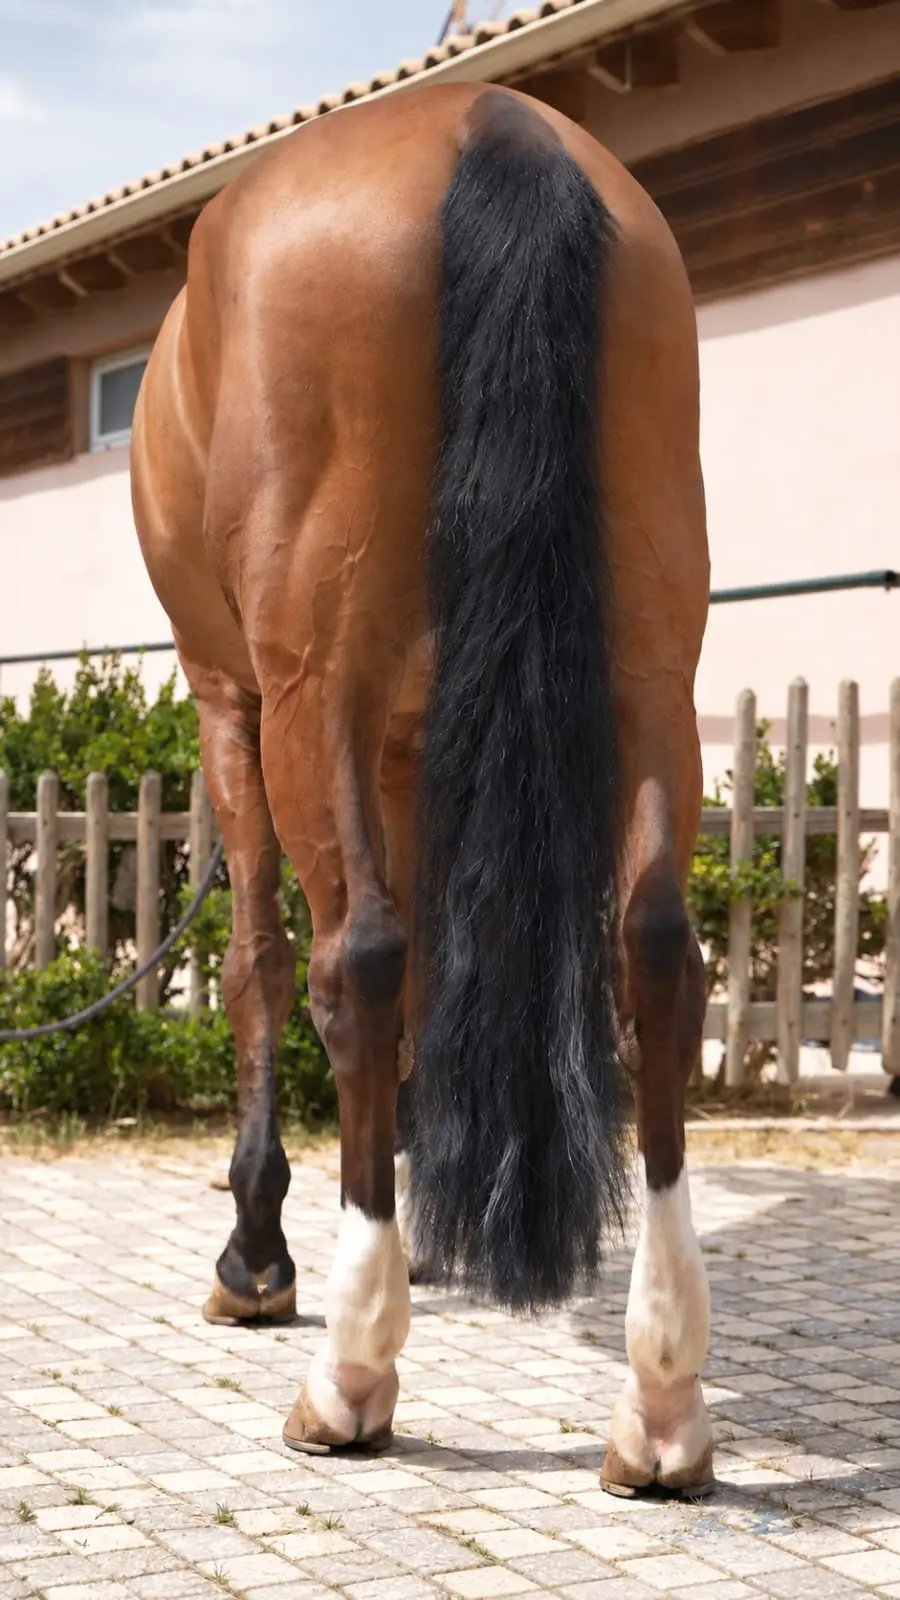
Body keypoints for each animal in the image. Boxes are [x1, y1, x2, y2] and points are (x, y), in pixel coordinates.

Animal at [131, 81, 711, 1497]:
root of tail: (492, 122)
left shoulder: (231, 698)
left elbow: (260, 960)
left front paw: (259, 1256)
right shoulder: (408, 744)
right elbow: (451, 971)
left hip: (312, 678)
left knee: (357, 960)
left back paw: (349, 1372)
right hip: (651, 664)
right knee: (656, 952)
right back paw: (662, 1403)